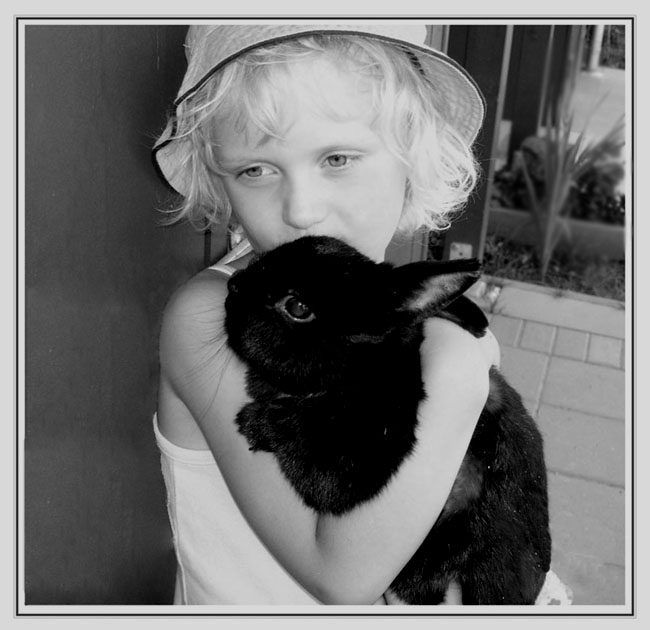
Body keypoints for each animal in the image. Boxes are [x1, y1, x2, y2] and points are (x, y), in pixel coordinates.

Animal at [224, 235, 551, 605]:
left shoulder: (361, 461)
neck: (365, 367)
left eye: (297, 307)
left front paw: (254, 422)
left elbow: (306, 440)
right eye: (260, 260)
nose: (233, 286)